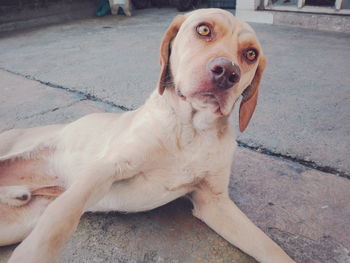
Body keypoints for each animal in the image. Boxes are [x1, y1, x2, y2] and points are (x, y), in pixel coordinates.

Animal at [0, 8, 296, 263]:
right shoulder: (106, 167)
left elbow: (270, 247)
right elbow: (62, 213)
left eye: (250, 54)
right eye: (203, 29)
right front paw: (34, 255)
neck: (191, 132)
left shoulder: (213, 201)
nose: (227, 73)